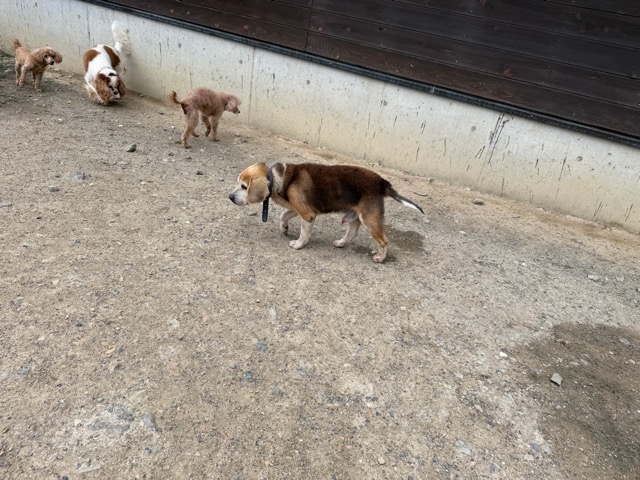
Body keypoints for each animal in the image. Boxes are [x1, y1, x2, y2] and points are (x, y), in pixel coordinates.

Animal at [229, 162, 424, 263]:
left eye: (244, 187)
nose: (230, 197)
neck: (279, 178)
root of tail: (382, 182)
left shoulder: (307, 215)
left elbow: (303, 233)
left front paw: (298, 244)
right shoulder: (297, 208)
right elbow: (283, 215)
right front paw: (284, 228)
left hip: (370, 220)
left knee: (384, 241)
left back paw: (380, 257)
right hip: (355, 215)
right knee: (352, 233)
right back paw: (341, 242)